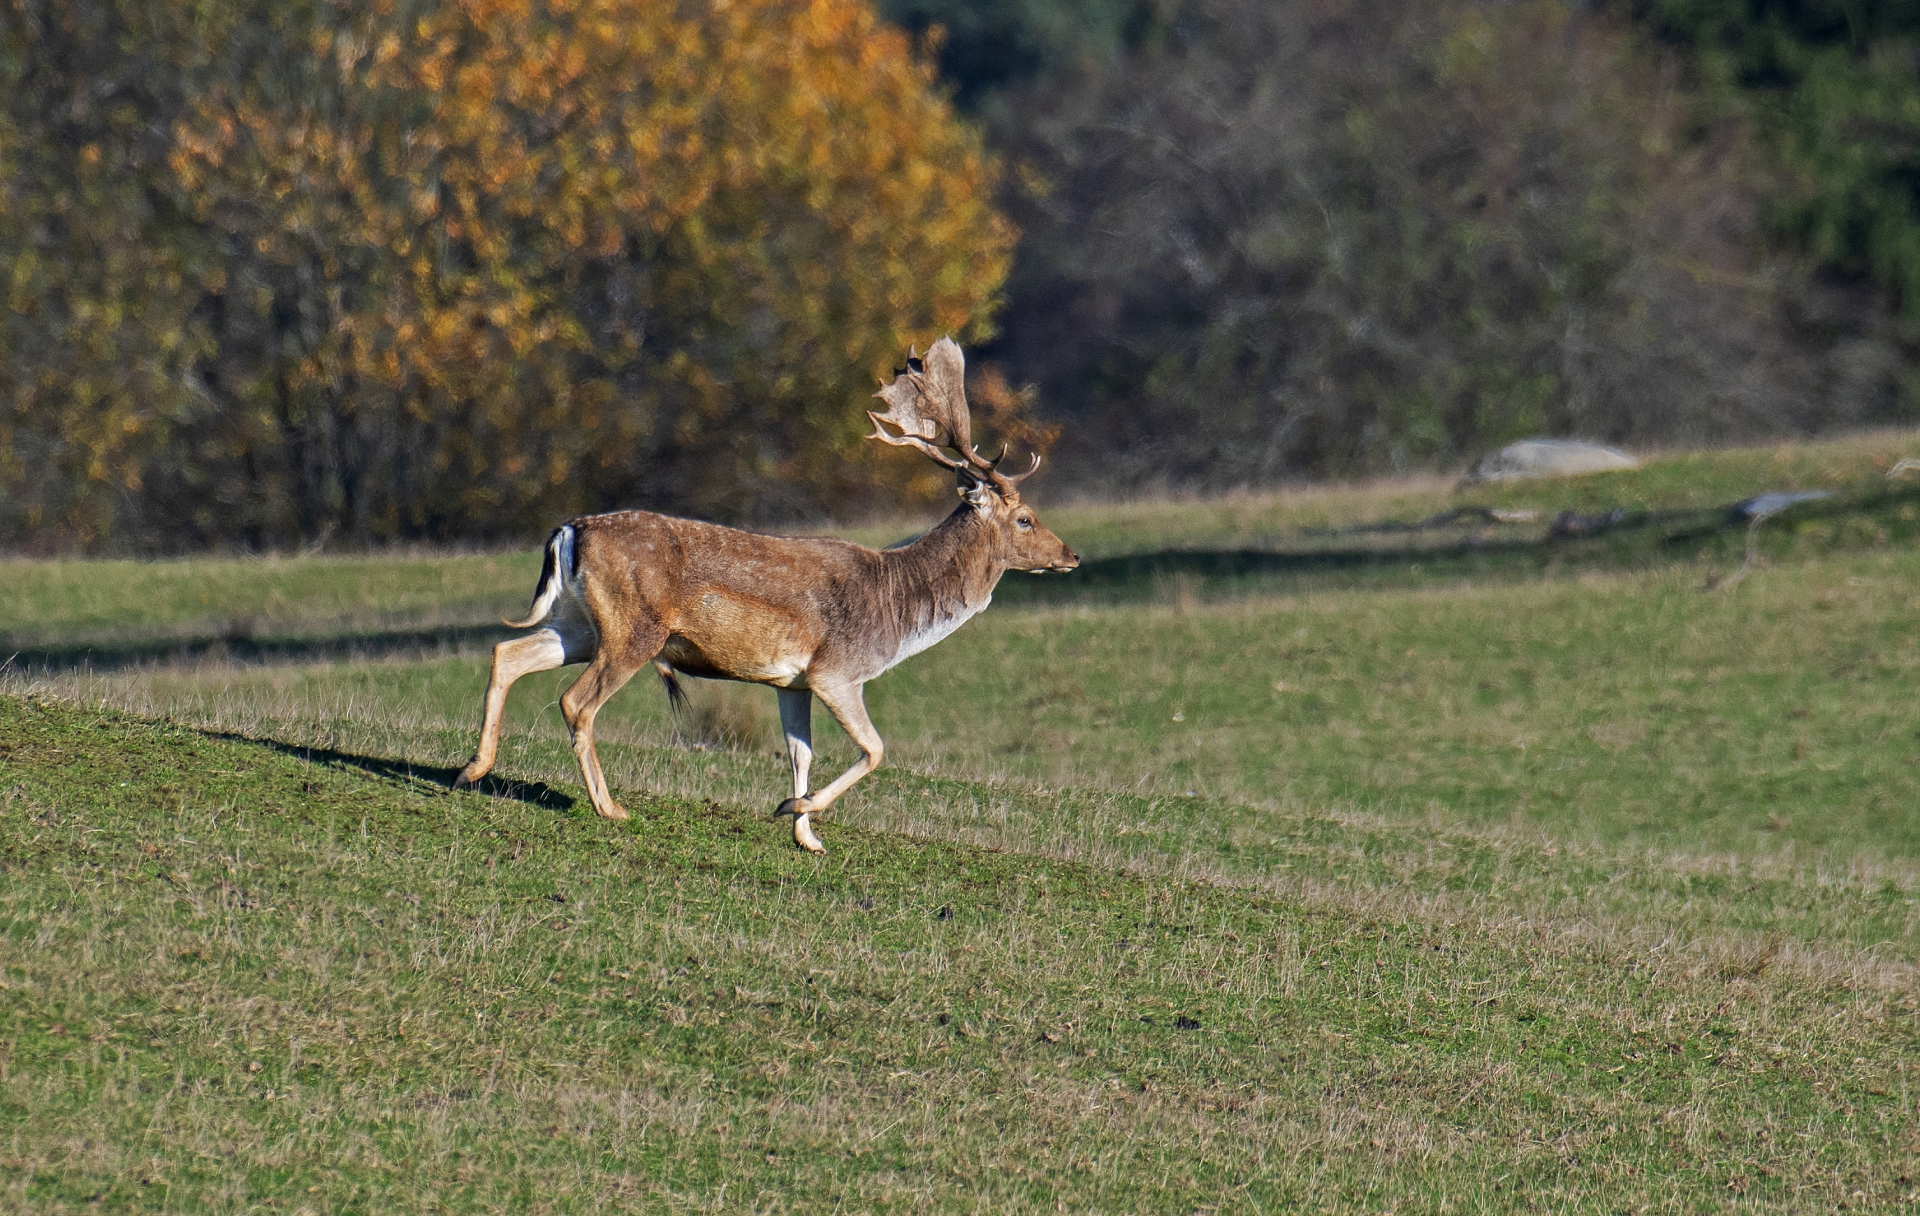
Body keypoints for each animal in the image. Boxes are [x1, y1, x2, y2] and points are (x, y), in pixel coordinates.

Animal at [453, 340, 1082, 852]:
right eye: (1025, 518)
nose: (1072, 555)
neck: (897, 608)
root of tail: (569, 530)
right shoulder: (837, 671)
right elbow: (875, 748)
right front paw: (793, 810)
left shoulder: (792, 681)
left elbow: (801, 751)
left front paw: (807, 837)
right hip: (634, 629)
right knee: (575, 701)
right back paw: (609, 807)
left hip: (582, 625)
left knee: (507, 653)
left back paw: (472, 770)